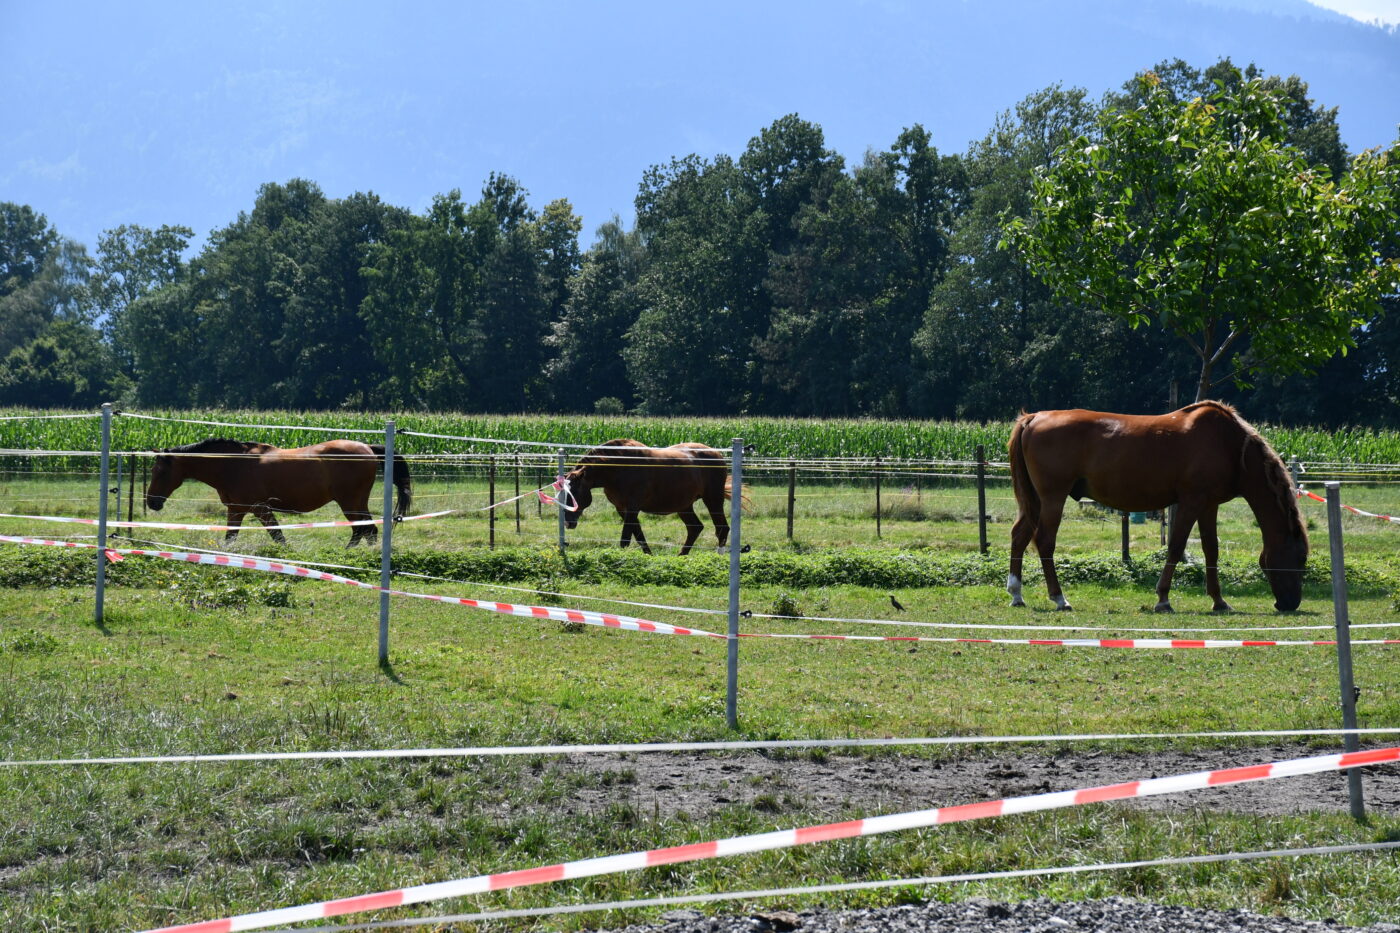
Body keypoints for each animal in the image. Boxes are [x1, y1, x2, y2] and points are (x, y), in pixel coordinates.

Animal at [144, 437, 411, 546]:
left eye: (161, 472)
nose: (151, 502)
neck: (233, 464)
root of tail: (368, 448)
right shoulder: (236, 510)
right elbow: (230, 539)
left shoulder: (261, 509)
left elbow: (278, 536)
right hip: (355, 502)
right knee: (365, 530)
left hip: (350, 502)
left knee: (364, 530)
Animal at [560, 437, 733, 551]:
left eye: (573, 493)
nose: (568, 523)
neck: (618, 467)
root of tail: (718, 455)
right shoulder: (622, 509)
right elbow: (639, 537)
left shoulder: (632, 508)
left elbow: (625, 539)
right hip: (684, 505)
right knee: (695, 528)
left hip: (713, 500)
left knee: (722, 529)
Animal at [1013, 400, 1304, 610]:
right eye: (1299, 558)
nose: (1290, 604)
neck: (1230, 445)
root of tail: (1034, 418)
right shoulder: (1191, 502)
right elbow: (1175, 547)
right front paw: (1163, 598)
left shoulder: (1209, 506)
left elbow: (1211, 550)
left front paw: (1219, 601)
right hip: (1053, 498)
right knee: (1045, 541)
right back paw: (1059, 598)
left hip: (1036, 501)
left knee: (1019, 536)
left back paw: (1016, 593)